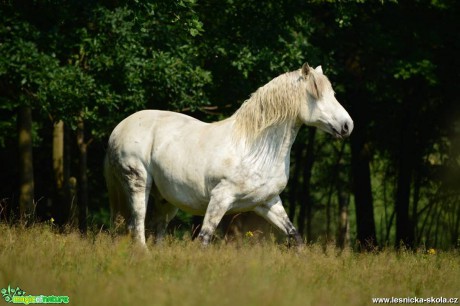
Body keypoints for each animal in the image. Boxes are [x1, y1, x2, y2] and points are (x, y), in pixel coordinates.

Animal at [104, 62, 354, 246]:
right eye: (316, 94)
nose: (347, 126)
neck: (253, 149)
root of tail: (119, 128)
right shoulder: (220, 198)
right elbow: (204, 240)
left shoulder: (268, 202)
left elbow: (296, 237)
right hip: (138, 184)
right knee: (137, 227)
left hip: (166, 199)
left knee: (155, 230)